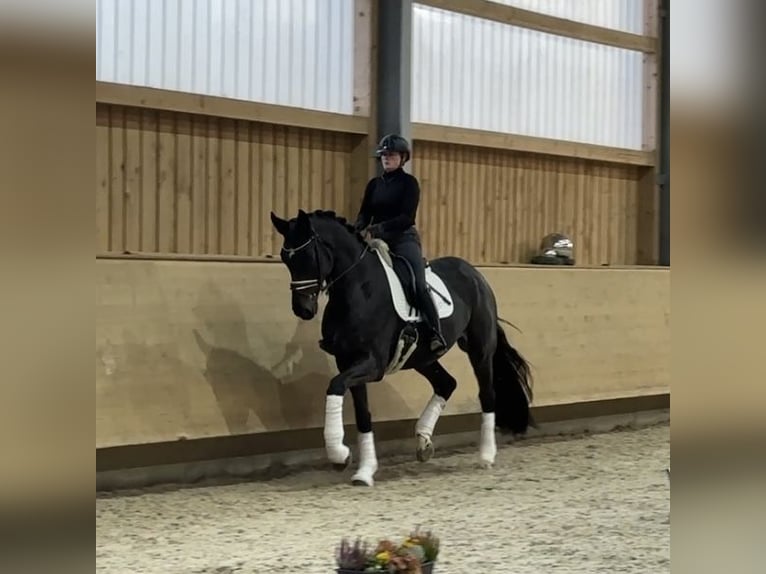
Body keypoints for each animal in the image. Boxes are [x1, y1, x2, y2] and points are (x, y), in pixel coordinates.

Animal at [270, 208, 534, 486]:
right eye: (285, 258)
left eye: (308, 255)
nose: (303, 309)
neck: (359, 289)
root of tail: (474, 274)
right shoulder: (349, 361)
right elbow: (362, 414)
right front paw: (364, 471)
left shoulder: (372, 365)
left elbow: (335, 385)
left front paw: (339, 454)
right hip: (422, 358)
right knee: (446, 384)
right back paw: (424, 441)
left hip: (479, 350)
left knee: (487, 394)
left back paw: (486, 455)